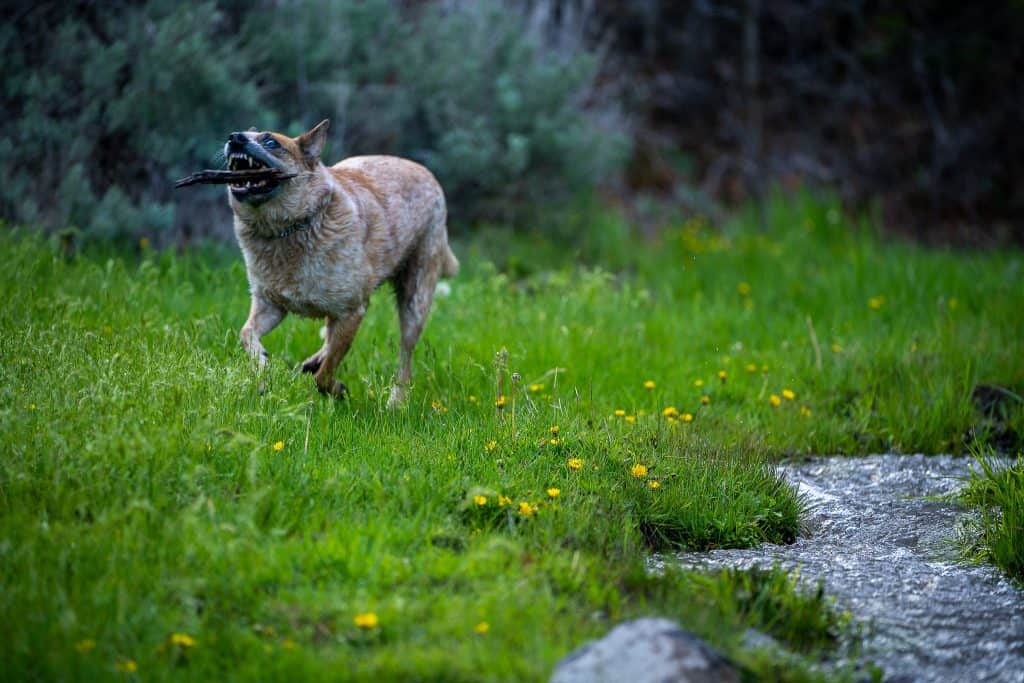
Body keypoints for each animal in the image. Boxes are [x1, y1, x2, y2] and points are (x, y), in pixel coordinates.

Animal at [230, 119, 462, 403]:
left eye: (270, 141)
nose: (234, 137)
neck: (289, 229)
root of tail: (426, 172)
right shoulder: (270, 304)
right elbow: (246, 333)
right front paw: (262, 367)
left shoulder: (351, 311)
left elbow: (326, 372)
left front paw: (335, 388)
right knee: (328, 339)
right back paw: (313, 360)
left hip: (415, 299)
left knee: (405, 358)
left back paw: (396, 400)